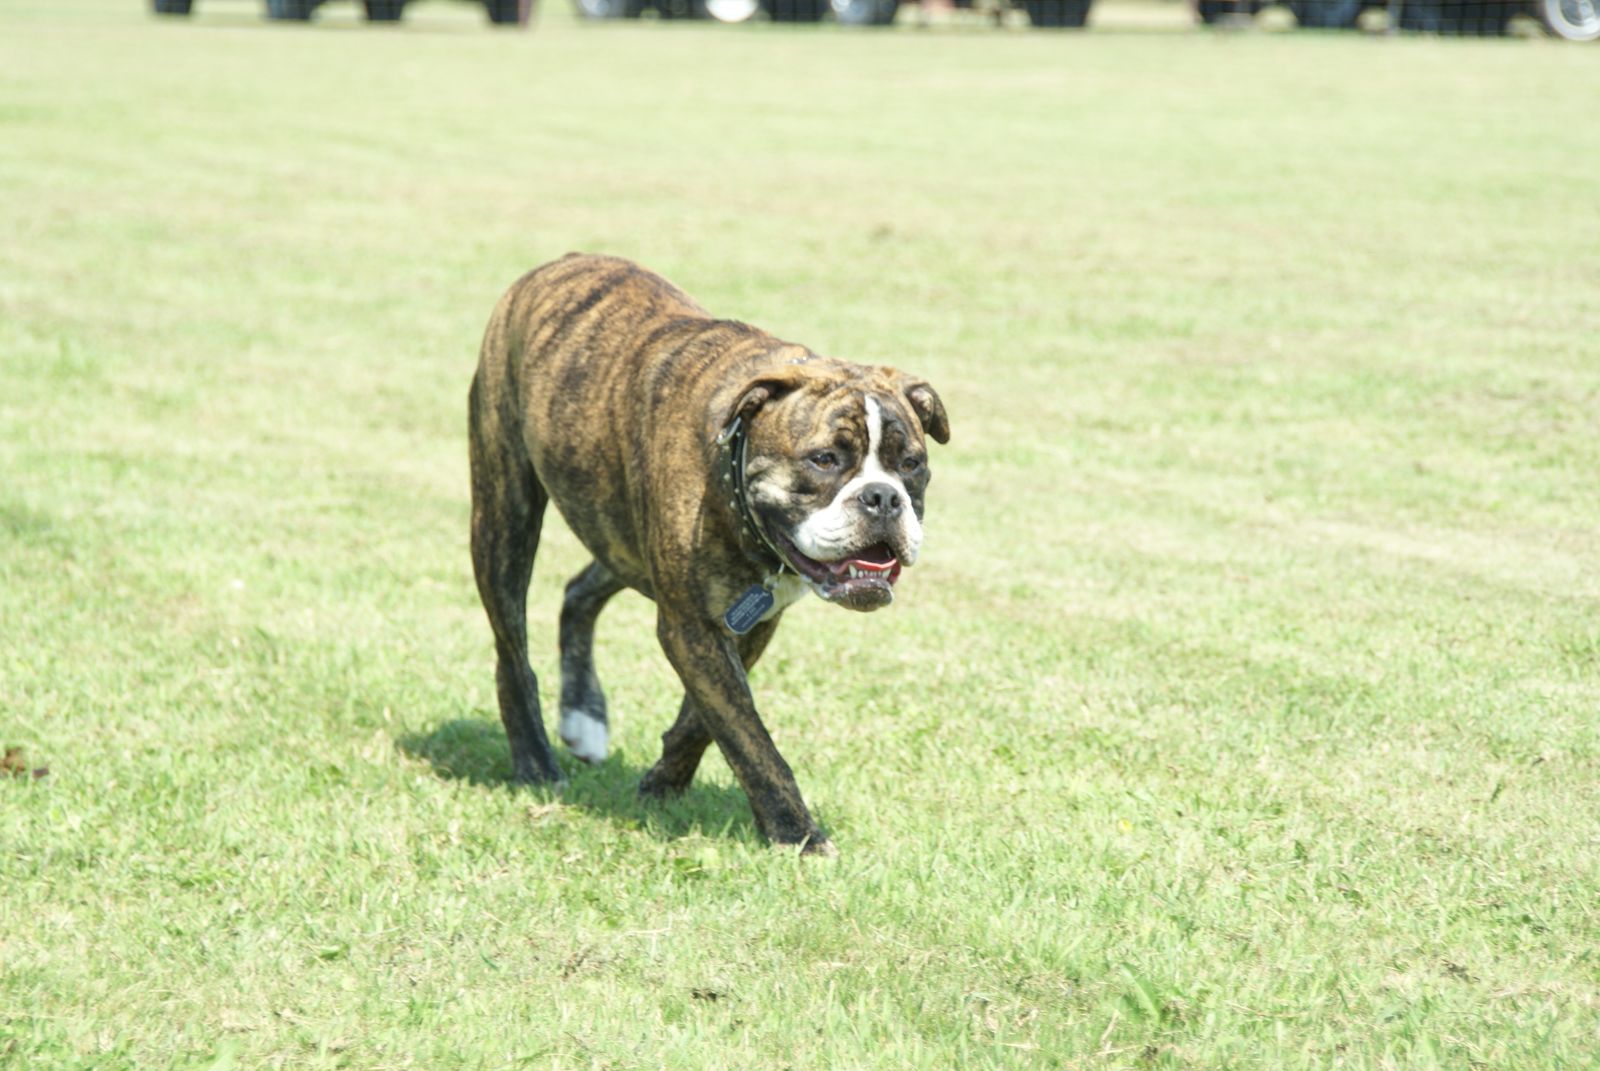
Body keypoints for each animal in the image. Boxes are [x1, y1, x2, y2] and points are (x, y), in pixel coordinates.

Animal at [468, 254, 949, 855]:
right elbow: (749, 736)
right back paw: (535, 762)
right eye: (824, 460)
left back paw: (584, 717)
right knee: (512, 651)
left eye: (911, 464)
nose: (883, 497)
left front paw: (662, 781)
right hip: (504, 516)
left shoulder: (747, 619)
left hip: (618, 531)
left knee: (579, 591)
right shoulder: (692, 626)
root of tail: (557, 264)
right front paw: (798, 834)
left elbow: (707, 716)